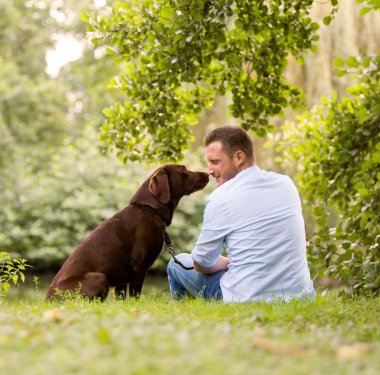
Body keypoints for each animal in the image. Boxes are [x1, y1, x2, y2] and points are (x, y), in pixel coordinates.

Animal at [46, 166, 211, 302]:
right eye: (184, 170)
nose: (206, 173)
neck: (152, 209)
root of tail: (48, 299)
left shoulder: (122, 278)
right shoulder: (138, 266)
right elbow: (135, 296)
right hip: (99, 277)